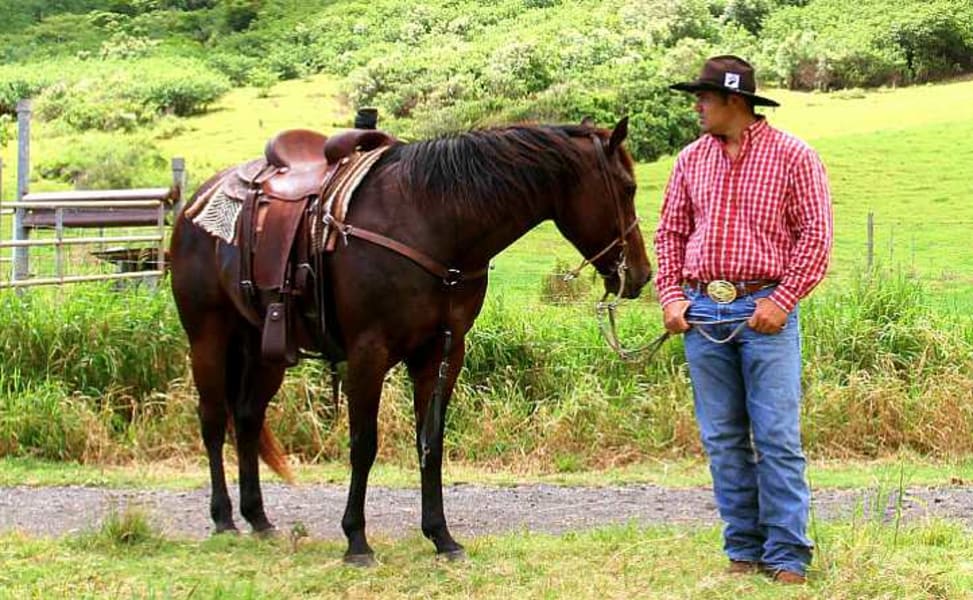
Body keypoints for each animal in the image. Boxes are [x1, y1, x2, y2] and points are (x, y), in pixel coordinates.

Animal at [169, 116, 652, 564]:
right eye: (628, 188)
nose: (642, 275)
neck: (429, 222)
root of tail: (196, 201)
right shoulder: (368, 354)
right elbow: (364, 444)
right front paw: (356, 541)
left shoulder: (441, 354)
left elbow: (430, 443)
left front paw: (441, 537)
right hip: (208, 337)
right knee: (213, 420)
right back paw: (224, 518)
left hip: (263, 347)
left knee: (248, 417)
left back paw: (258, 518)